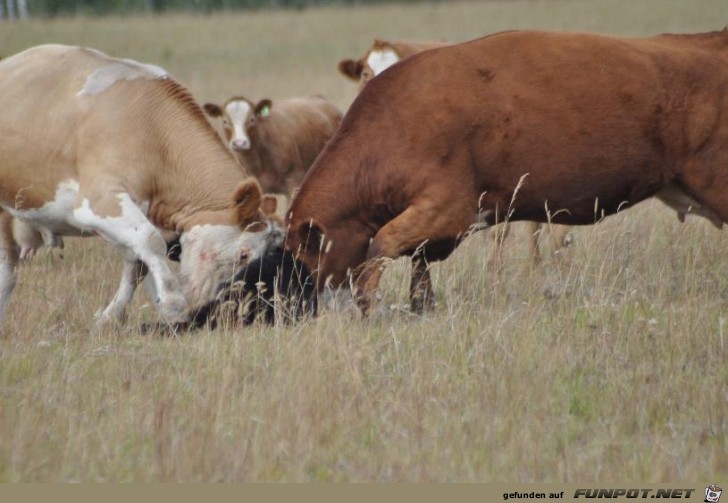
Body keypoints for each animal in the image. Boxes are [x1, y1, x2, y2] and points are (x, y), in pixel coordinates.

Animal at [0, 44, 282, 326]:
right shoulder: (101, 202)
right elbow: (150, 241)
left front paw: (111, 316)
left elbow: (136, 264)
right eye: (243, 255)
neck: (154, 134)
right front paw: (172, 303)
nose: (210, 306)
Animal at [288, 28, 728, 316]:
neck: (396, 121)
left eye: (302, 259)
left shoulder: (448, 209)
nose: (299, 307)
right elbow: (418, 271)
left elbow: (381, 247)